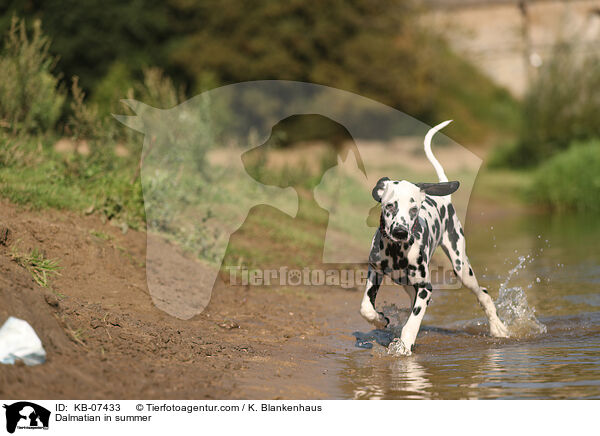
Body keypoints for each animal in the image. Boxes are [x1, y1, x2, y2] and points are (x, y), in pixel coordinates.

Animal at [358, 119, 508, 354]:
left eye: (414, 209)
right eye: (390, 205)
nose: (400, 232)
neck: (396, 251)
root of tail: (444, 198)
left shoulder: (425, 289)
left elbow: (413, 322)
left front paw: (404, 345)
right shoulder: (375, 271)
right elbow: (365, 307)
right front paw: (380, 319)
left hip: (461, 267)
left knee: (482, 293)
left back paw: (497, 327)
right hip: (408, 283)